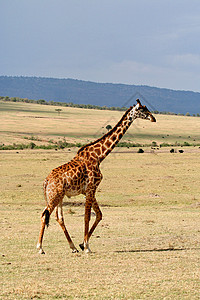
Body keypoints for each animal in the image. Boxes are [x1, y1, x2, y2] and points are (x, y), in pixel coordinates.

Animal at [37, 99, 156, 254]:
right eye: (142, 110)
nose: (153, 118)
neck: (99, 156)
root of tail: (46, 181)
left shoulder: (89, 190)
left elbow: (99, 215)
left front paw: (83, 244)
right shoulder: (91, 188)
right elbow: (87, 217)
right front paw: (87, 247)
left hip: (59, 197)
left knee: (59, 217)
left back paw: (73, 247)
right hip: (54, 196)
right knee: (44, 215)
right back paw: (40, 248)